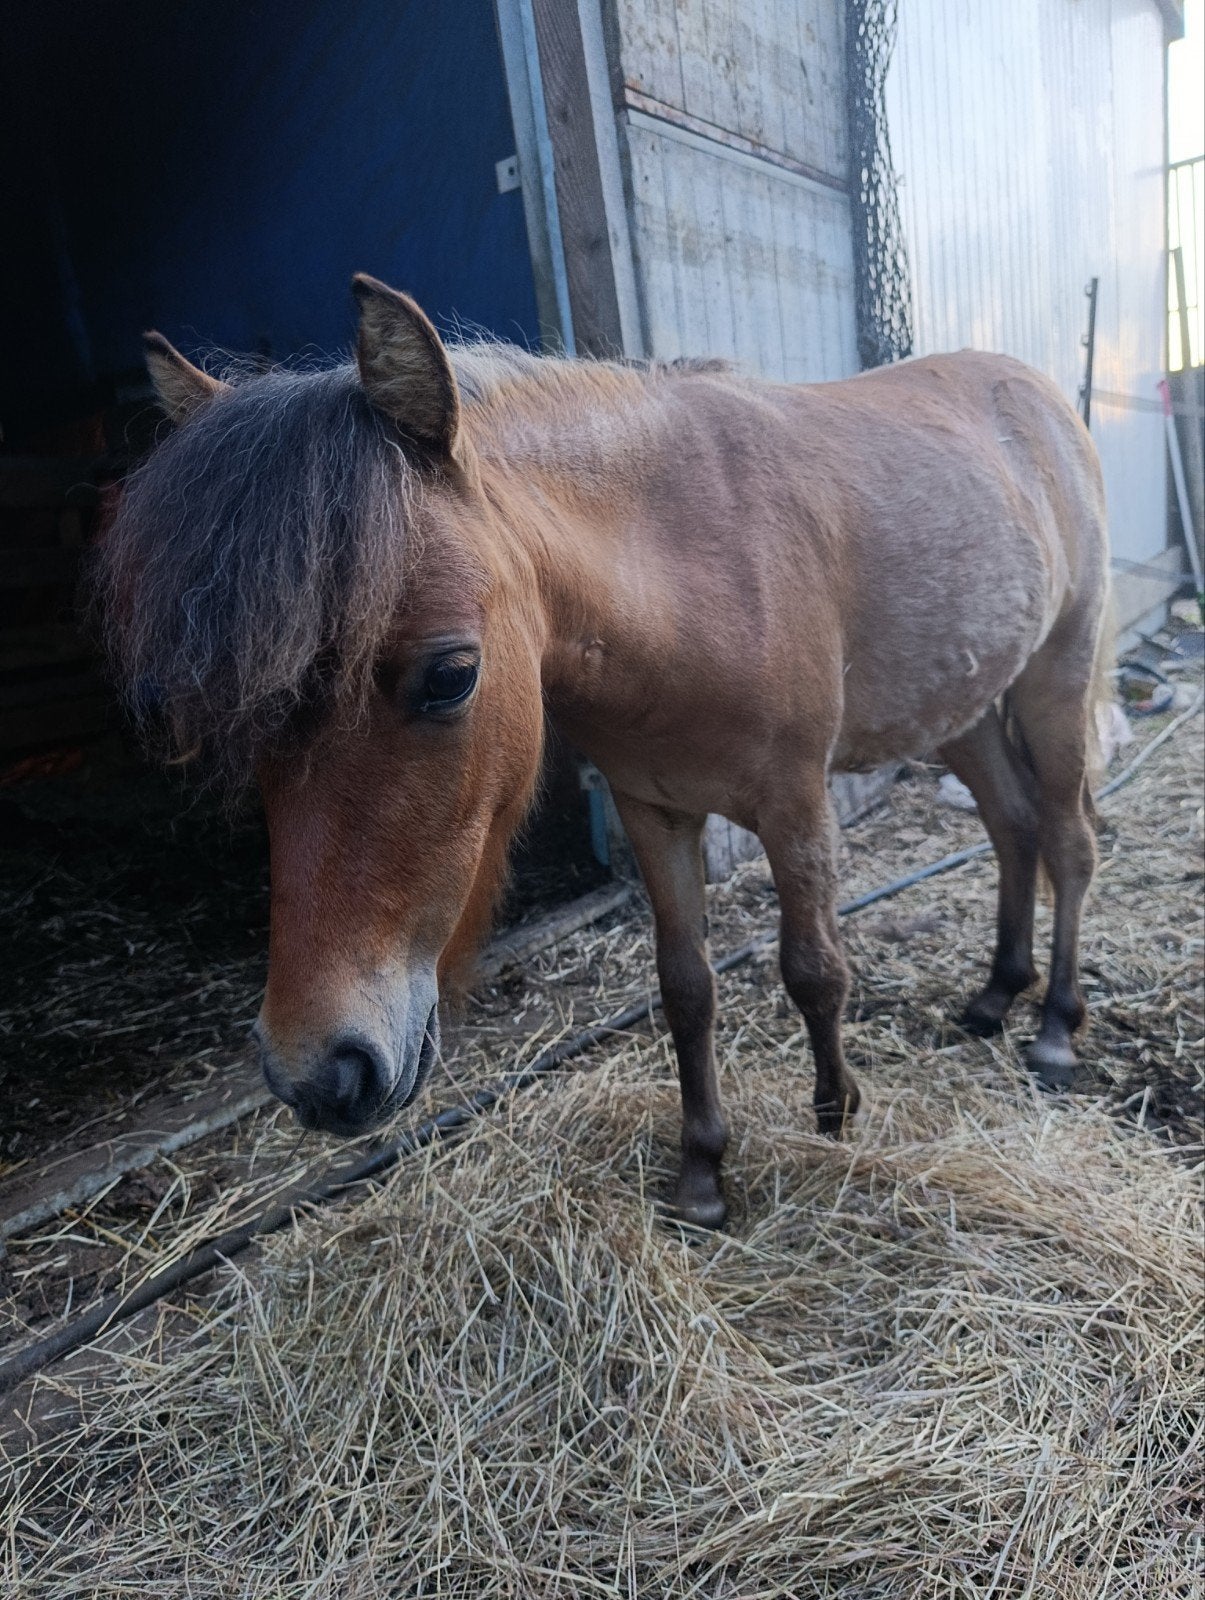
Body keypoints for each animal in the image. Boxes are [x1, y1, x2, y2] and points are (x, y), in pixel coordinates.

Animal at [96, 274, 1110, 1228]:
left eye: (450, 676)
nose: (320, 1074)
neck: (689, 566)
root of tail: (1038, 396)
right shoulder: (653, 808)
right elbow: (685, 987)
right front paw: (702, 1176)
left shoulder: (795, 806)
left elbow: (813, 970)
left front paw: (834, 1118)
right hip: (965, 708)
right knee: (1013, 827)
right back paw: (994, 997)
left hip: (1055, 675)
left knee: (1067, 841)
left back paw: (1054, 1030)